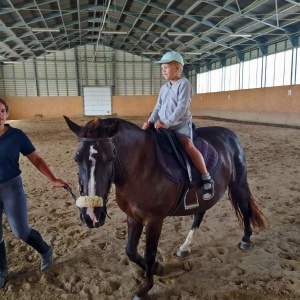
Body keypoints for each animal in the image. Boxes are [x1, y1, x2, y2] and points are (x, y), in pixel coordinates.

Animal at [63, 116, 264, 298]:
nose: (91, 215)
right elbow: (130, 250)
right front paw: (158, 268)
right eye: (76, 159)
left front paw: (145, 288)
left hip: (238, 183)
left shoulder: (154, 220)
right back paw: (186, 246)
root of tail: (230, 134)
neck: (140, 167)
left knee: (245, 208)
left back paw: (246, 239)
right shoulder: (133, 217)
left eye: (110, 158)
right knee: (199, 214)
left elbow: (150, 253)